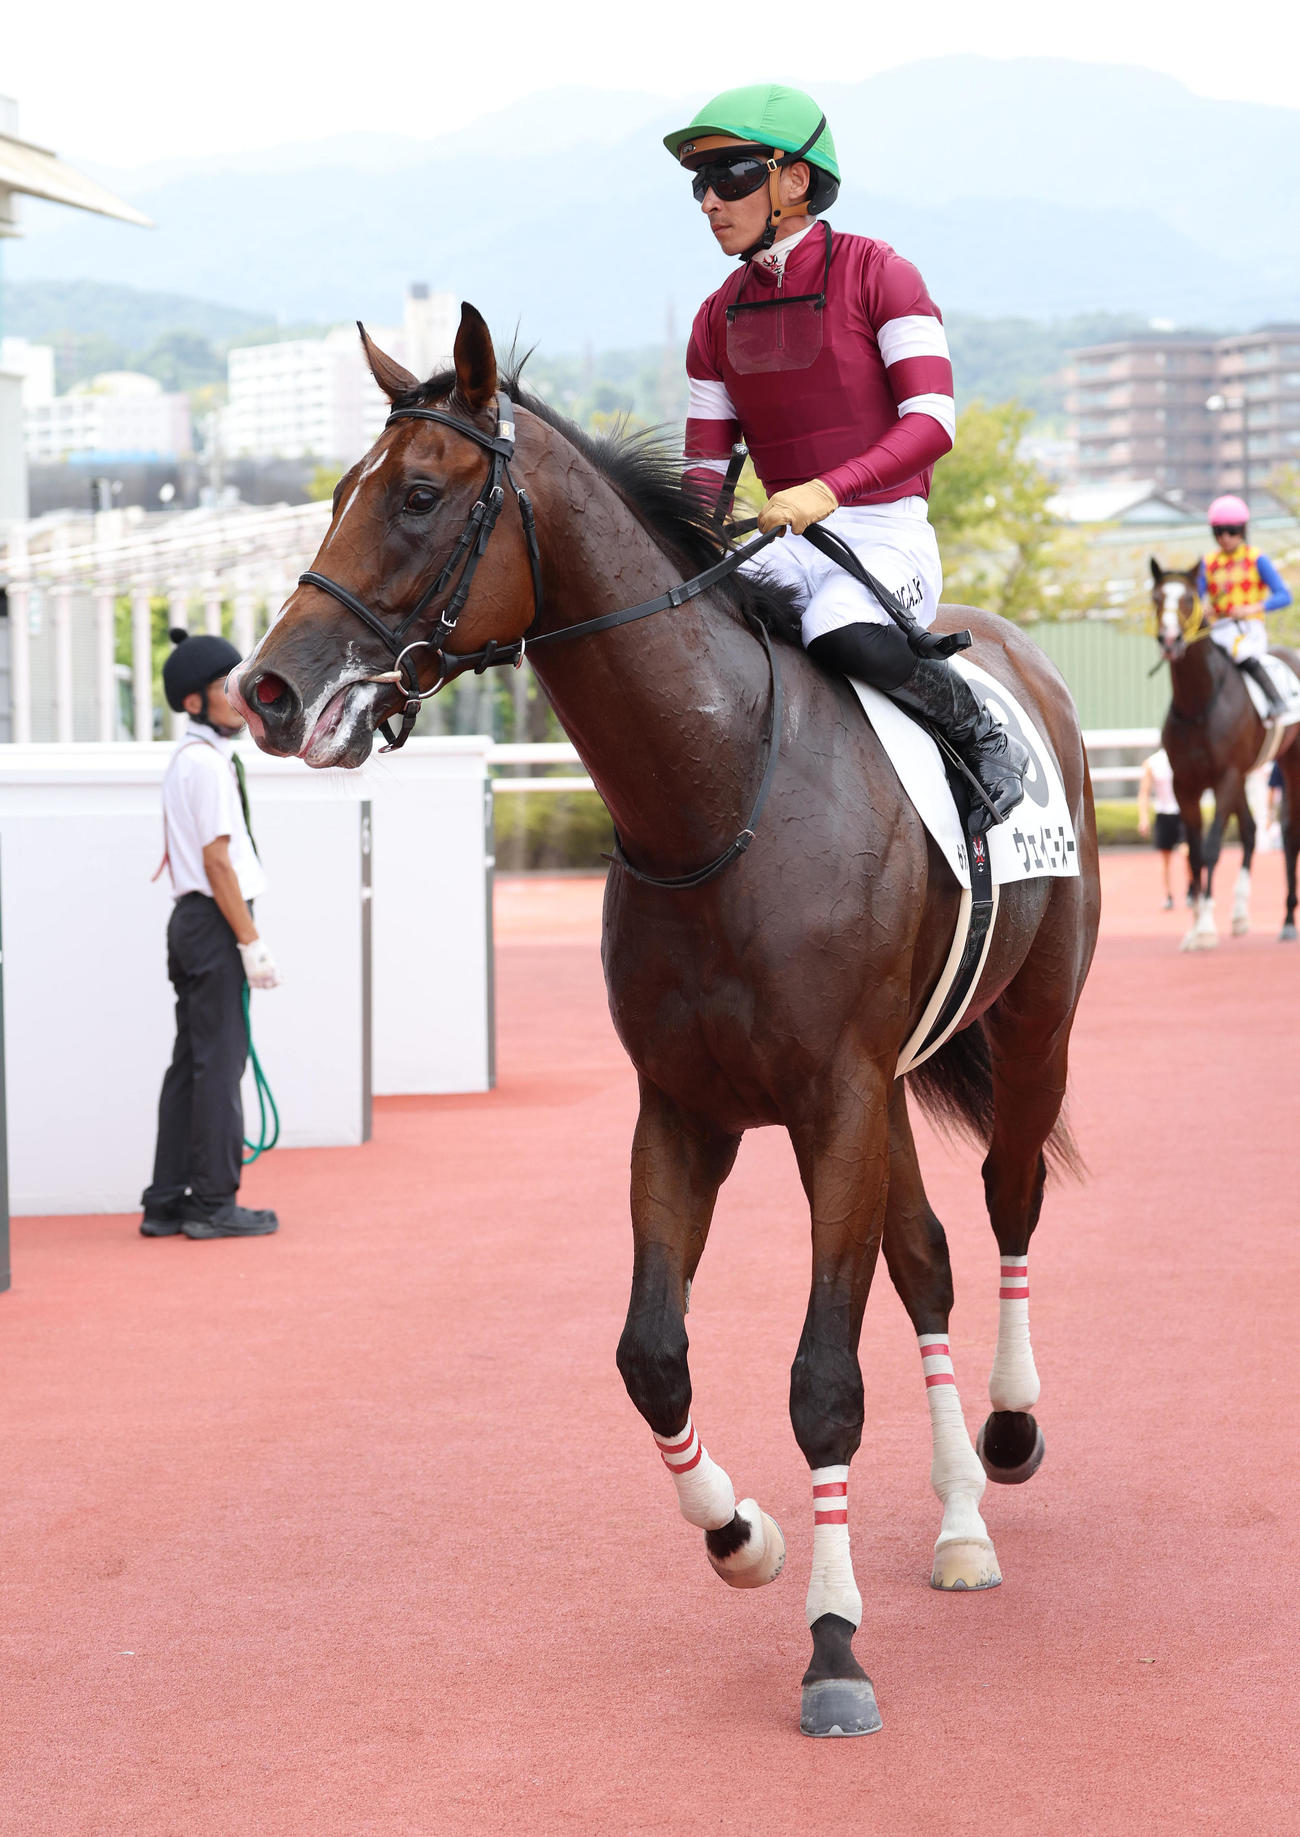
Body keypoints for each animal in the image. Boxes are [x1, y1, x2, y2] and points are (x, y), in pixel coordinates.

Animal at [230, 305, 1101, 1737]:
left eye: (416, 494)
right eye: (343, 487)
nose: (268, 691)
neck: (719, 797)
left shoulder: (832, 1102)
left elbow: (822, 1382)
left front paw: (833, 1646)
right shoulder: (688, 1106)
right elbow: (651, 1354)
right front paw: (742, 1535)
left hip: (1034, 1029)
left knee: (1013, 1197)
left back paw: (1014, 1434)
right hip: (890, 1084)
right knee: (925, 1257)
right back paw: (962, 1522)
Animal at [1149, 559, 1300, 946]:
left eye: (1188, 597)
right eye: (1157, 597)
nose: (1170, 640)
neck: (1199, 704)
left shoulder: (1225, 777)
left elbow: (1213, 848)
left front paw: (1204, 928)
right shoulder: (1185, 784)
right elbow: (1194, 854)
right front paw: (1196, 926)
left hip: (1288, 762)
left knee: (1289, 830)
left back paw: (1287, 919)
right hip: (1245, 775)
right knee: (1249, 830)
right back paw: (1241, 914)